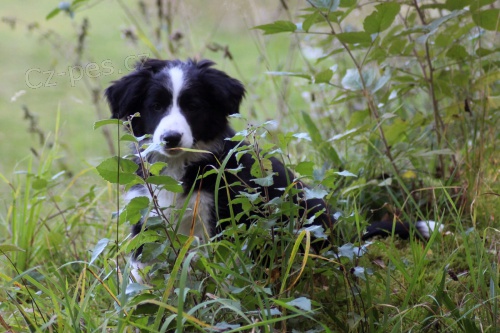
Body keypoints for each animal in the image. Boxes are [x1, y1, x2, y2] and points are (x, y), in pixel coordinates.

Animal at [104, 59, 438, 272]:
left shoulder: (225, 214)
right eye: (156, 106)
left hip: (310, 211)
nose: (171, 138)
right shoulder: (146, 211)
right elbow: (140, 267)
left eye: (193, 106)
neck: (180, 167)